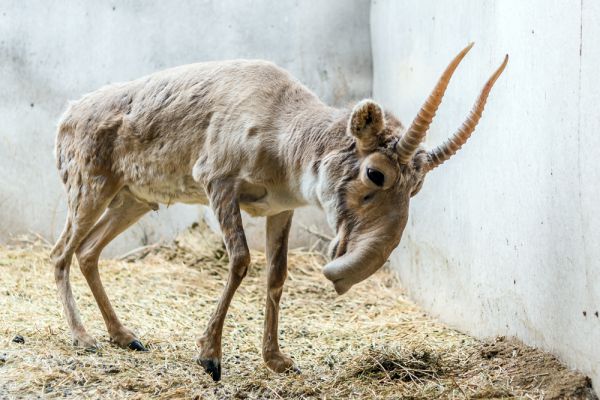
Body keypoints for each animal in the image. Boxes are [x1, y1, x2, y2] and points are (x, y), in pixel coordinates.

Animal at [52, 43, 506, 382]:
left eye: (418, 187)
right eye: (375, 173)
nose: (345, 274)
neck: (283, 132)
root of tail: (67, 114)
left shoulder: (282, 207)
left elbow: (276, 275)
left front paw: (278, 360)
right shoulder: (217, 180)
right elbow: (240, 260)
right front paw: (210, 356)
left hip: (133, 199)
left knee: (88, 252)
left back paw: (124, 336)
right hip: (89, 188)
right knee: (60, 253)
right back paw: (83, 337)